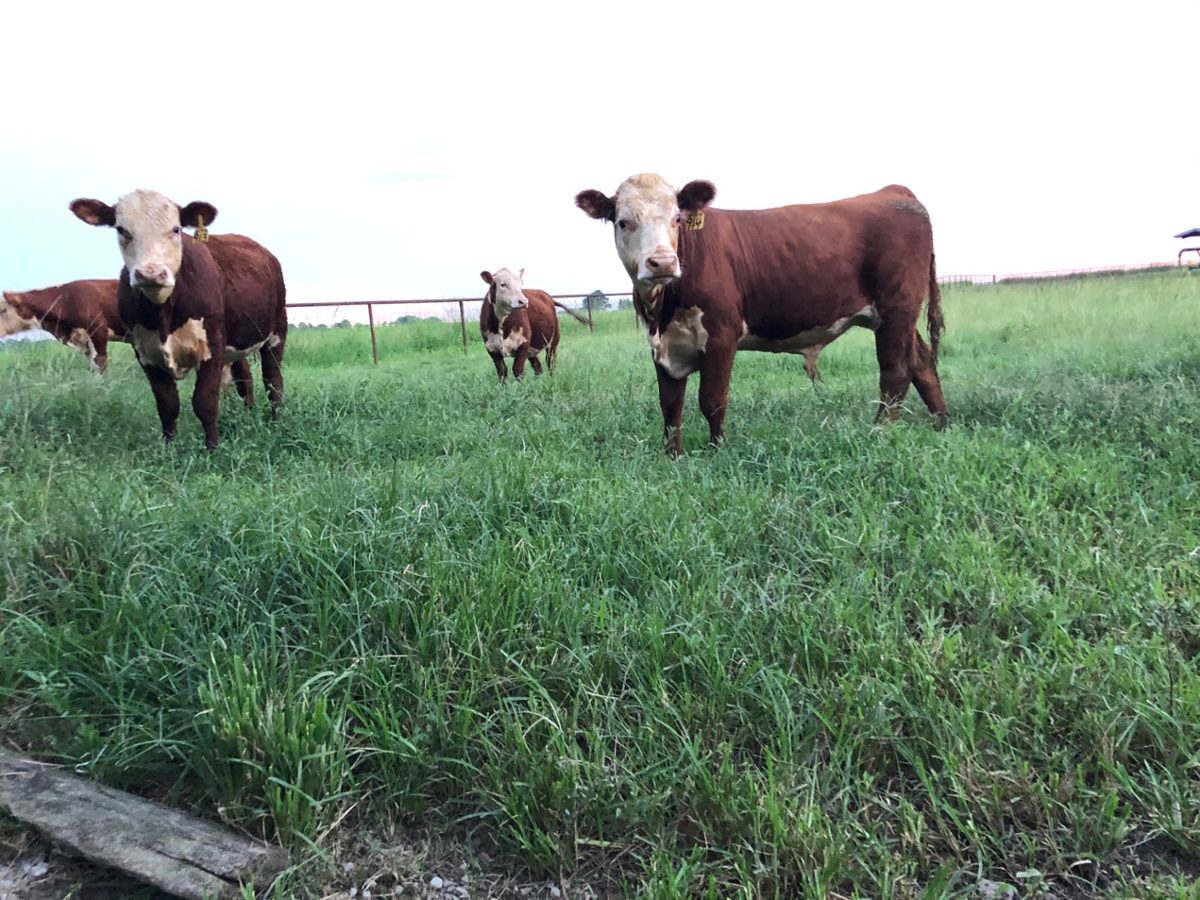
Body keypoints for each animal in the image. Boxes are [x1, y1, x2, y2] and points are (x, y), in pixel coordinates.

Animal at [69, 189, 287, 448]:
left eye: (175, 229)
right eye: (121, 229)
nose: (151, 273)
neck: (164, 314)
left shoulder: (211, 346)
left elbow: (205, 402)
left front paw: (212, 448)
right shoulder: (145, 353)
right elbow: (167, 404)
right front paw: (169, 448)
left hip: (276, 331)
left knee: (273, 381)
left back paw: (276, 421)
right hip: (236, 342)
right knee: (245, 379)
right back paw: (250, 415)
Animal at [575, 173, 948, 455]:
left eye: (676, 219)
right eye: (623, 222)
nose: (663, 262)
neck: (665, 309)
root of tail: (893, 191)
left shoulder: (722, 335)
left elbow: (712, 400)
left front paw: (717, 451)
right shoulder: (663, 345)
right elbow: (670, 405)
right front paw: (673, 456)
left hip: (897, 307)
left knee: (896, 371)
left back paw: (880, 432)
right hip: (895, 317)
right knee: (922, 362)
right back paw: (941, 424)